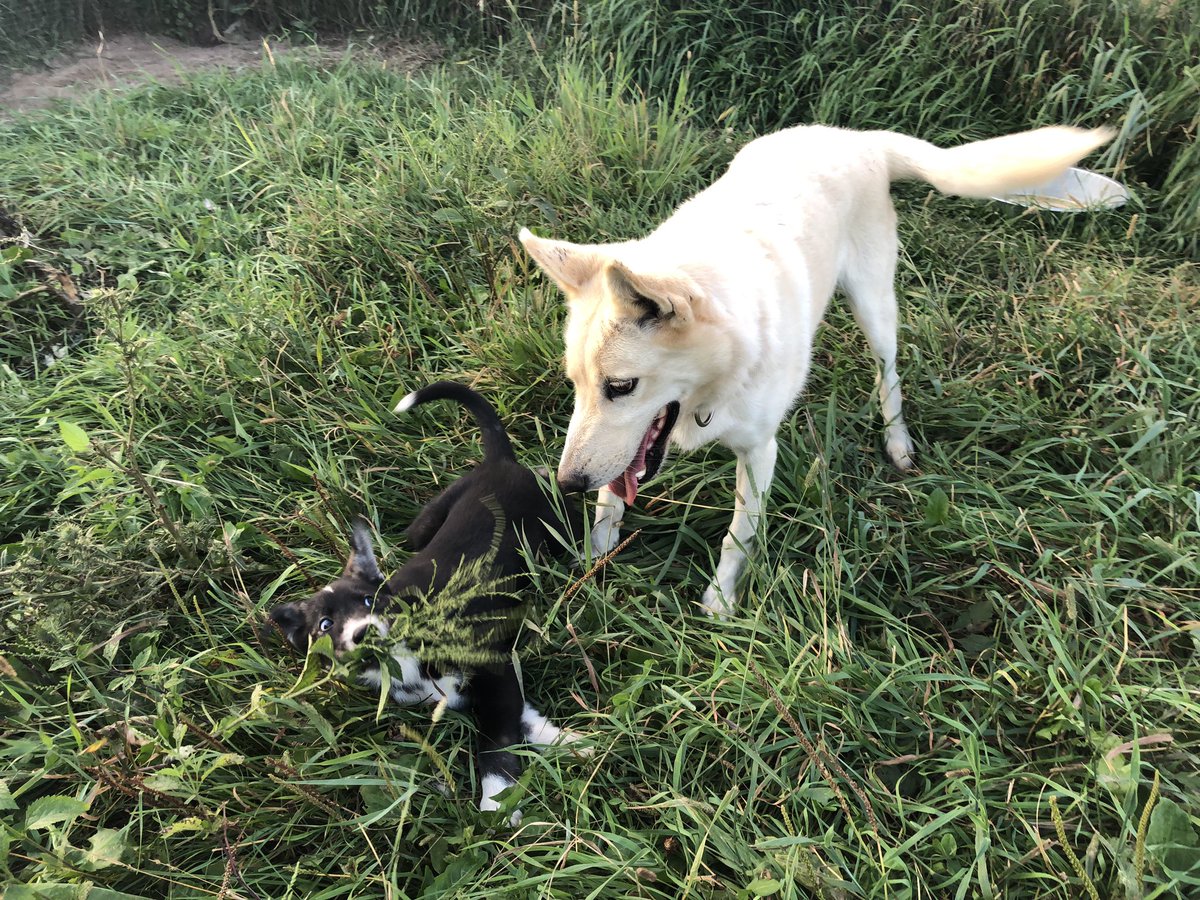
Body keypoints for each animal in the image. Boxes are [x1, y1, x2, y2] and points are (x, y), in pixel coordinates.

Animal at [273, 381, 590, 816]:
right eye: (325, 625)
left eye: (370, 602)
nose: (363, 633)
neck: (406, 650)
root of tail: (499, 462)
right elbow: (518, 718)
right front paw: (566, 742)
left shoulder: (492, 667)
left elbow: (496, 739)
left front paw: (496, 802)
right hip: (423, 525)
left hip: (557, 526)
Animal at [520, 123, 1108, 619]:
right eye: (576, 385)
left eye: (621, 387)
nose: (566, 483)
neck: (724, 365)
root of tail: (858, 138)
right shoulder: (629, 450)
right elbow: (612, 497)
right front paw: (594, 559)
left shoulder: (759, 452)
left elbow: (737, 535)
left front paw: (720, 603)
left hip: (875, 308)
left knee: (889, 378)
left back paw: (898, 442)